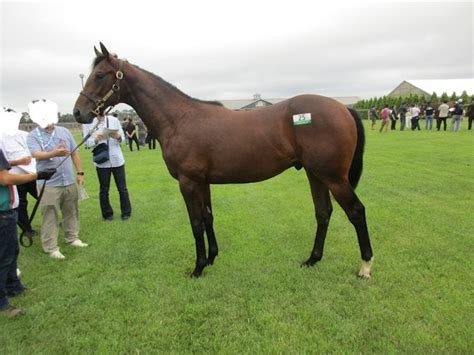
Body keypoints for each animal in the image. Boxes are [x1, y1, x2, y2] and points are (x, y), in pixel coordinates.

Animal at [73, 43, 374, 280]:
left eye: (99, 75)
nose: (78, 113)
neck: (179, 118)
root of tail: (342, 107)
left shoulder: (188, 182)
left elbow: (196, 223)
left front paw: (197, 268)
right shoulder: (202, 182)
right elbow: (208, 217)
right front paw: (211, 258)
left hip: (334, 178)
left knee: (356, 211)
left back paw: (365, 267)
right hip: (315, 174)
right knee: (323, 213)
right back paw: (312, 259)